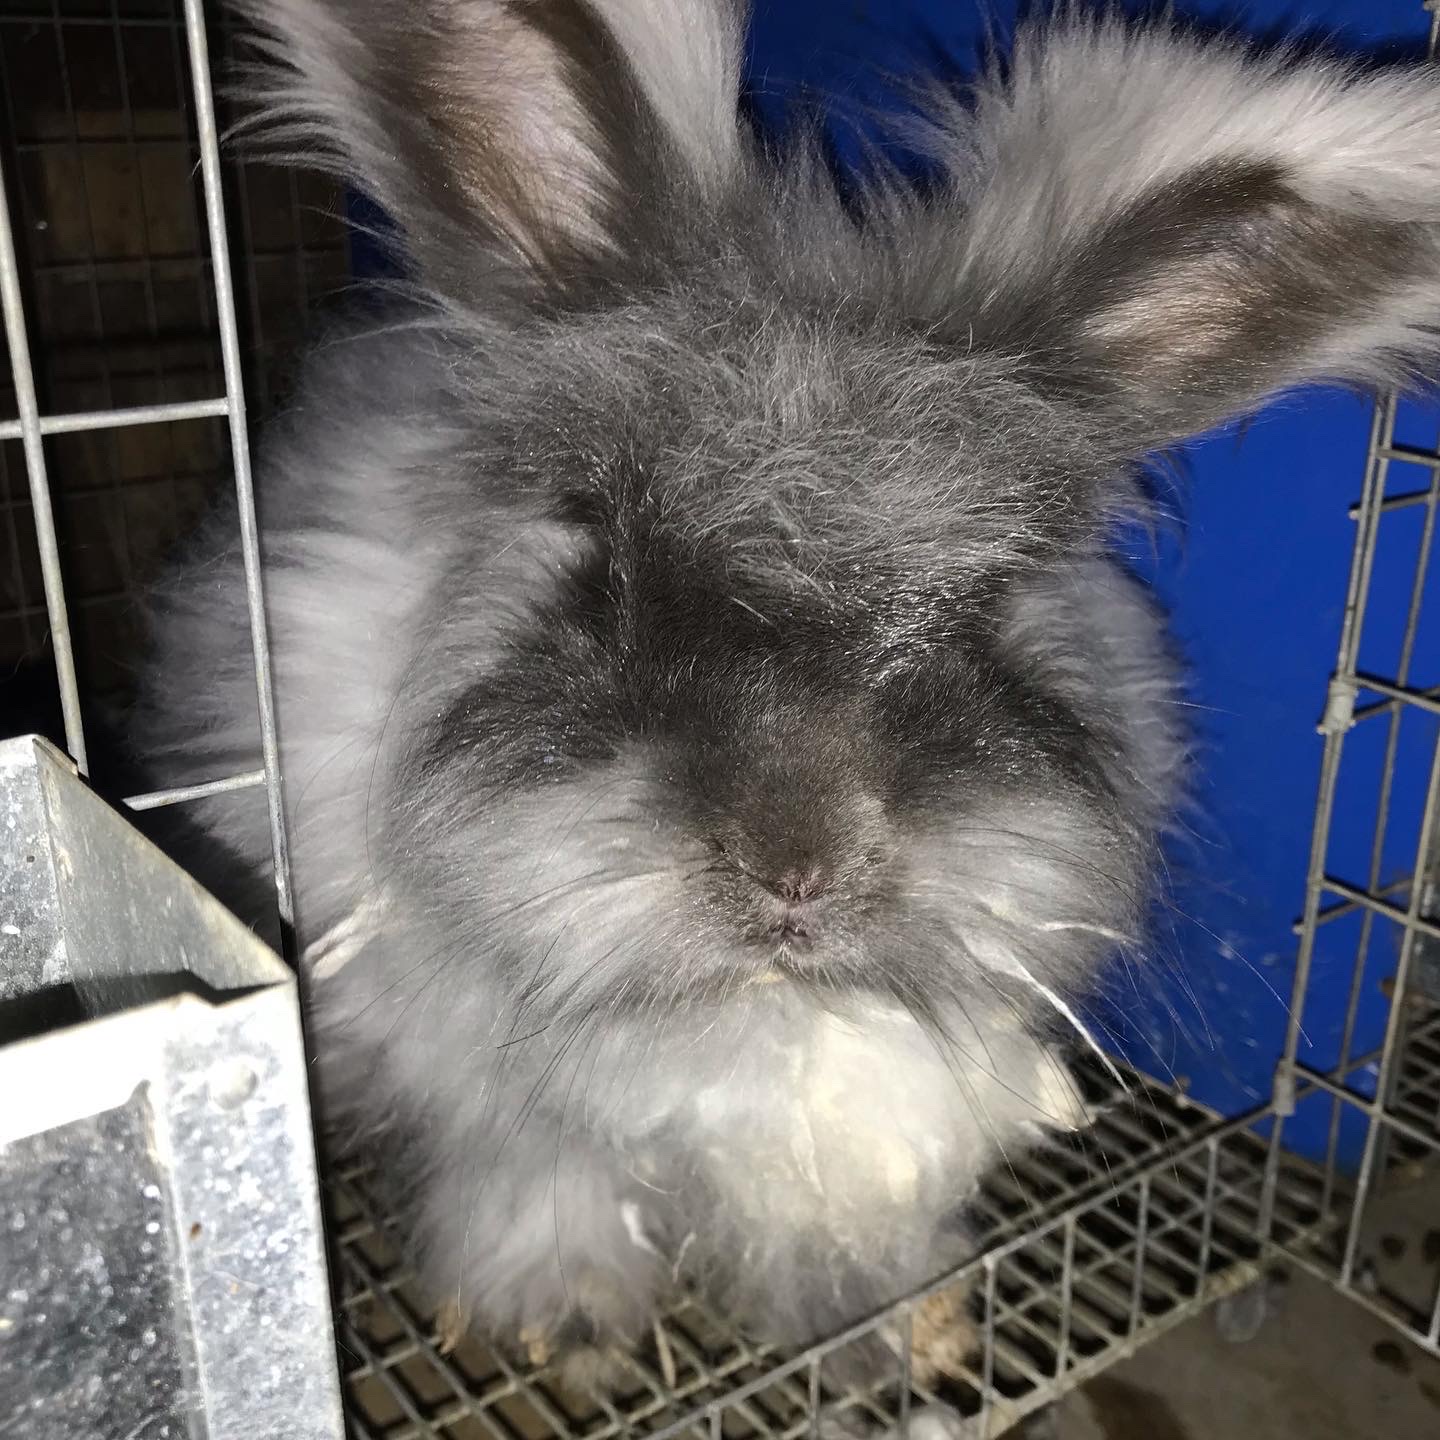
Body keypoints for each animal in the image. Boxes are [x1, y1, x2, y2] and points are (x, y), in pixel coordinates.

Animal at [132, 0, 1440, 1390]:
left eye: (988, 603)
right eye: (609, 564)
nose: (798, 868)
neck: (755, 1006)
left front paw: (900, 1329)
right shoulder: (484, 1086)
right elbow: (541, 1178)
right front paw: (568, 1326)